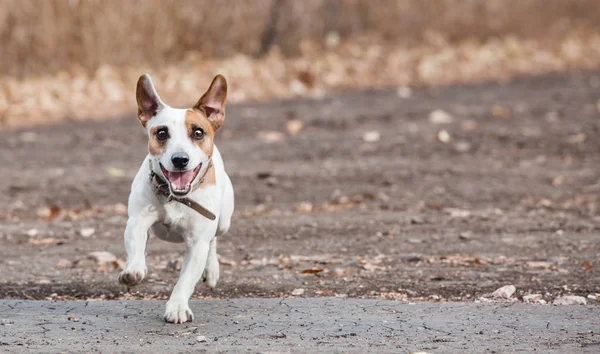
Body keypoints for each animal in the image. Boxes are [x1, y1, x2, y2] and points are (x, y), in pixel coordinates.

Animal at [118, 74, 234, 324]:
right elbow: (136, 246)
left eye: (198, 133)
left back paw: (212, 271)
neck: (175, 197)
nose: (180, 159)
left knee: (214, 239)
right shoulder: (137, 221)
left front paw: (178, 307)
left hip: (223, 222)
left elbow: (185, 280)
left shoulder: (197, 243)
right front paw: (133, 270)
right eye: (161, 133)